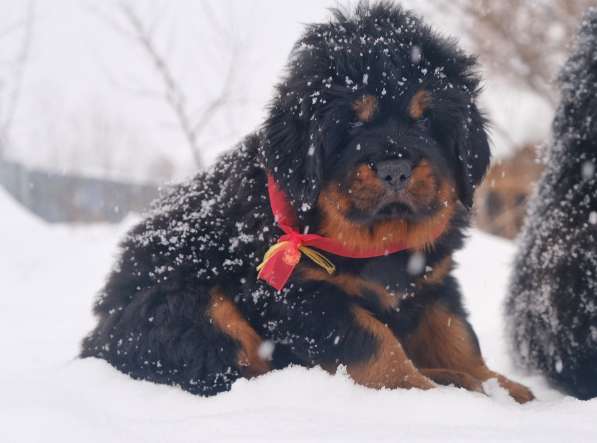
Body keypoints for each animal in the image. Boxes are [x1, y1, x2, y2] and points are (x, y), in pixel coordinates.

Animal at [80, 0, 532, 402]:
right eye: (352, 122)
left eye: (424, 118)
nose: (395, 169)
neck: (376, 239)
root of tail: (95, 340)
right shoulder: (299, 297)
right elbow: (375, 344)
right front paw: (424, 393)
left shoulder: (432, 281)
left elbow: (457, 335)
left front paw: (500, 385)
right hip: (190, 302)